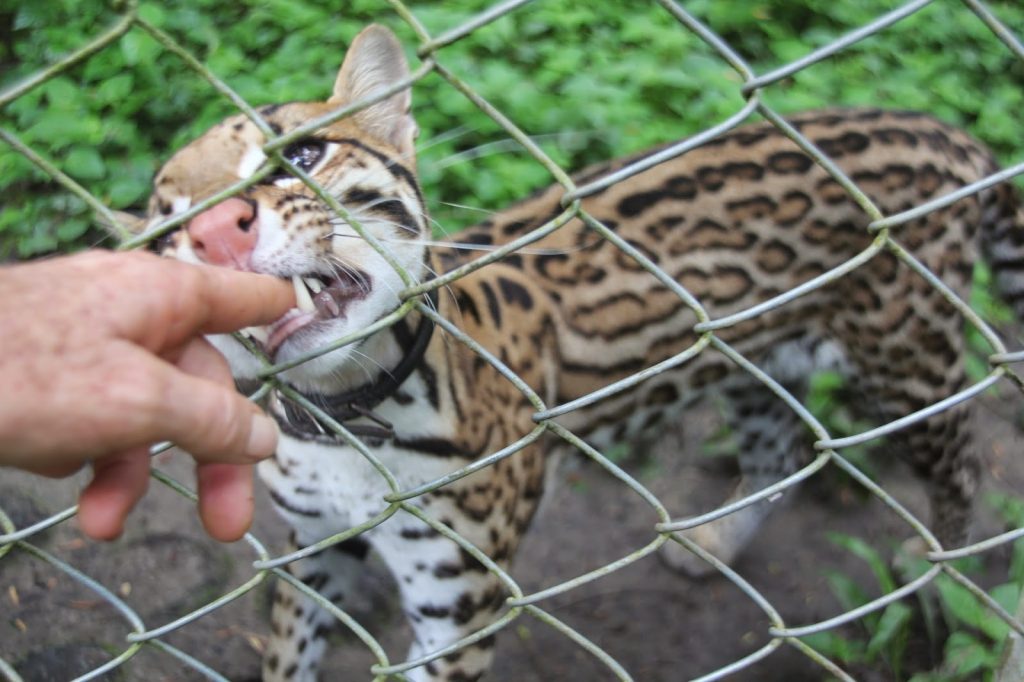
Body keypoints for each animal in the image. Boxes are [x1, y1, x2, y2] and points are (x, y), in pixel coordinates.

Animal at [116, 23, 1019, 675]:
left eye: (300, 155)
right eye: (166, 225)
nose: (211, 233)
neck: (341, 418)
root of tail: (940, 128)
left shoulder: (459, 603)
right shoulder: (311, 554)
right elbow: (288, 657)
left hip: (908, 357)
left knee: (964, 468)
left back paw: (946, 572)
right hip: (755, 362)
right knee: (780, 449)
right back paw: (717, 544)